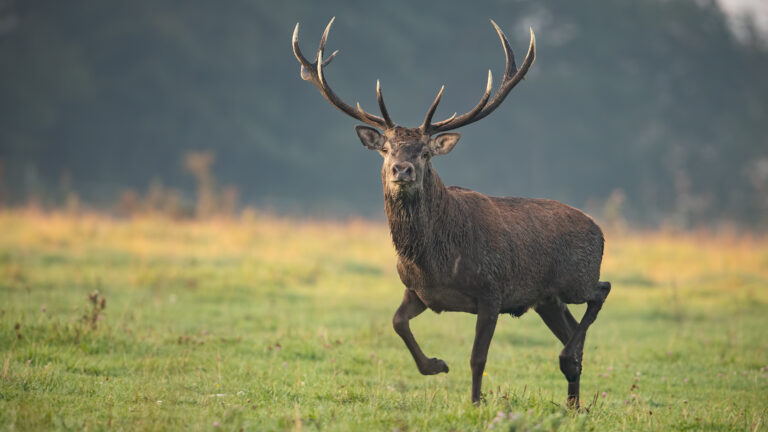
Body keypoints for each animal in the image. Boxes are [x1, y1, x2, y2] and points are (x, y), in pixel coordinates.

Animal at [292, 17, 611, 408]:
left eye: (425, 152)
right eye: (386, 148)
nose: (401, 170)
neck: (435, 261)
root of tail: (600, 230)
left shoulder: (493, 291)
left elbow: (478, 358)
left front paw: (475, 403)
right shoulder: (418, 291)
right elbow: (397, 323)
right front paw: (437, 365)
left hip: (575, 278)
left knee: (601, 291)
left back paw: (569, 371)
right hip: (547, 299)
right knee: (572, 331)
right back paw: (573, 403)